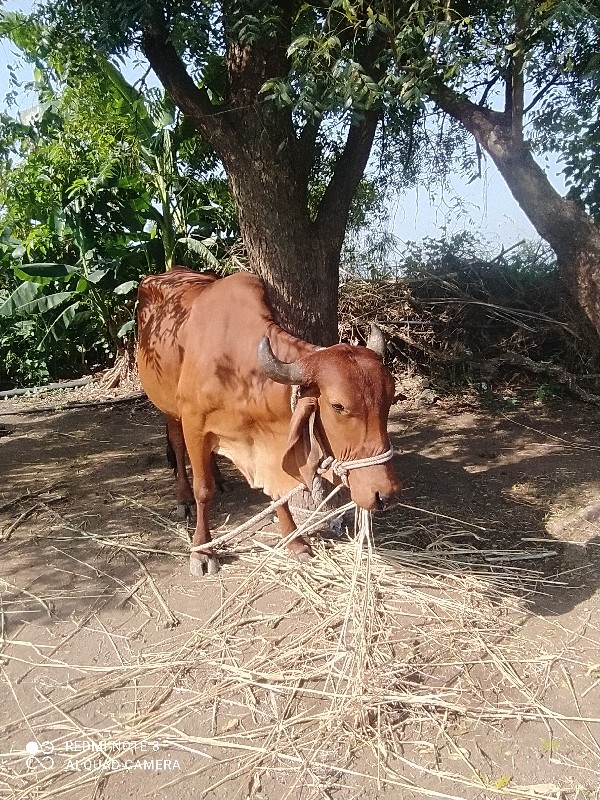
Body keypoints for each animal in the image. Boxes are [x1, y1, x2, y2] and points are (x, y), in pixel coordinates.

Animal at [135, 268, 398, 576]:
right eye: (338, 406)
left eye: (391, 400)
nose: (385, 494)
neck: (238, 367)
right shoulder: (194, 423)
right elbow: (203, 490)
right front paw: (202, 550)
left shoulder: (268, 445)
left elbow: (278, 492)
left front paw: (295, 542)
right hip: (168, 407)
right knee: (177, 446)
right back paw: (183, 497)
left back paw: (220, 477)